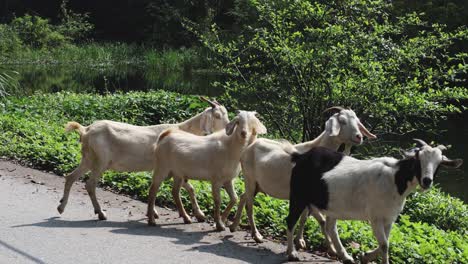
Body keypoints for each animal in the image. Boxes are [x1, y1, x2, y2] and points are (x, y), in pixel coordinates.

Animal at [57, 97, 229, 221]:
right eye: (217, 116)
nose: (228, 130)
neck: (183, 130)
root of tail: (86, 130)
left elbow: (186, 188)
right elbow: (190, 188)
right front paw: (199, 214)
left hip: (88, 159)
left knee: (70, 177)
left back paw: (61, 207)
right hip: (101, 162)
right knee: (90, 184)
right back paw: (100, 213)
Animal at [230, 106, 376, 252]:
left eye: (357, 121)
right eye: (343, 121)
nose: (359, 137)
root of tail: (250, 146)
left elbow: (305, 218)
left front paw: (300, 241)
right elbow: (315, 219)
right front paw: (323, 246)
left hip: (258, 185)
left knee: (243, 197)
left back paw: (233, 226)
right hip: (250, 179)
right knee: (249, 205)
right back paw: (256, 235)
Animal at [288, 139, 462, 262]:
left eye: (439, 164)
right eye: (418, 160)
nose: (426, 181)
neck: (395, 179)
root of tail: (302, 156)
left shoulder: (389, 218)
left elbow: (385, 242)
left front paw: (365, 257)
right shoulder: (376, 217)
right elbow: (385, 245)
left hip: (330, 203)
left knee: (329, 226)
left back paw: (344, 255)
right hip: (298, 195)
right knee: (291, 220)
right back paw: (292, 253)